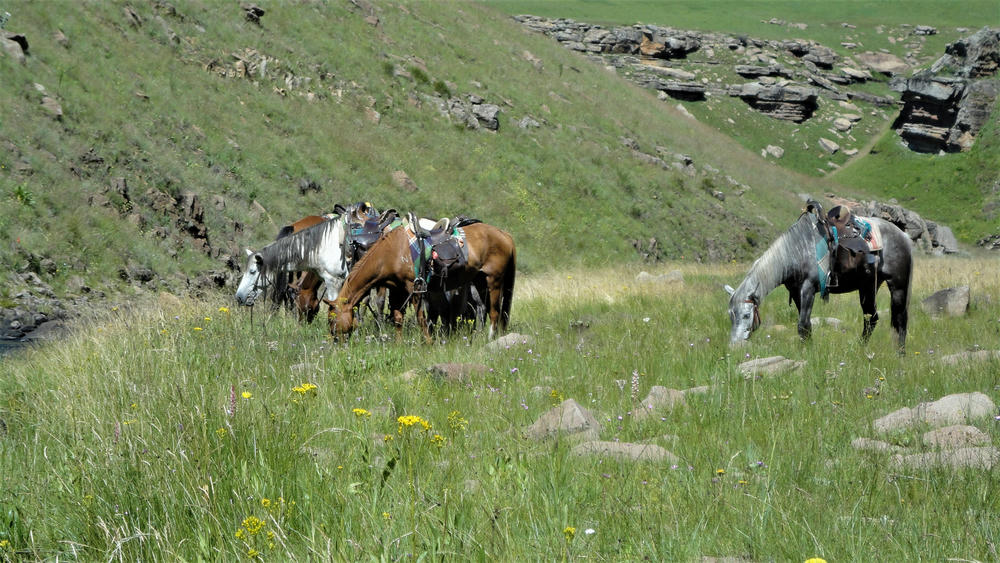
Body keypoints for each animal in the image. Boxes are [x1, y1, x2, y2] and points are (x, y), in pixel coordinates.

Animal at [328, 220, 516, 342]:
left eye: (332, 319)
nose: (334, 340)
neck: (391, 252)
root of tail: (505, 234)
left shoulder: (415, 287)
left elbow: (421, 318)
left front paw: (428, 343)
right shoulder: (398, 290)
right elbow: (398, 318)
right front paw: (399, 344)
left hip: (494, 281)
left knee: (494, 312)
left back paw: (490, 338)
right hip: (480, 281)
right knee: (486, 309)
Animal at [724, 200, 912, 352]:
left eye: (746, 315)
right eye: (730, 315)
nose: (735, 346)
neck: (797, 250)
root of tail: (903, 235)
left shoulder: (808, 289)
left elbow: (802, 325)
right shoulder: (796, 292)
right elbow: (806, 325)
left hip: (898, 286)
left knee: (900, 319)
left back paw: (900, 354)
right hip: (867, 287)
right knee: (871, 318)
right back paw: (860, 348)